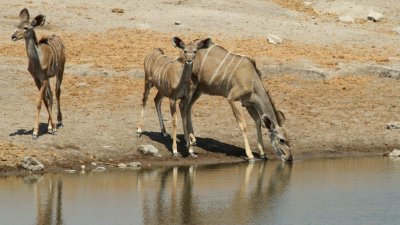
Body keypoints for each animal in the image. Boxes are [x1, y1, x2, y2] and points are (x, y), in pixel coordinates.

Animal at [11, 8, 65, 139]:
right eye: (17, 26)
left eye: (26, 28)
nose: (13, 36)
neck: (37, 60)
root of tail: (58, 38)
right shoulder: (37, 79)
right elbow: (45, 100)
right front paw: (51, 126)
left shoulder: (44, 78)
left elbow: (39, 101)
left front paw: (35, 132)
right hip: (50, 78)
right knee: (51, 95)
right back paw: (51, 125)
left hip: (60, 71)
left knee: (57, 91)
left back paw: (59, 121)